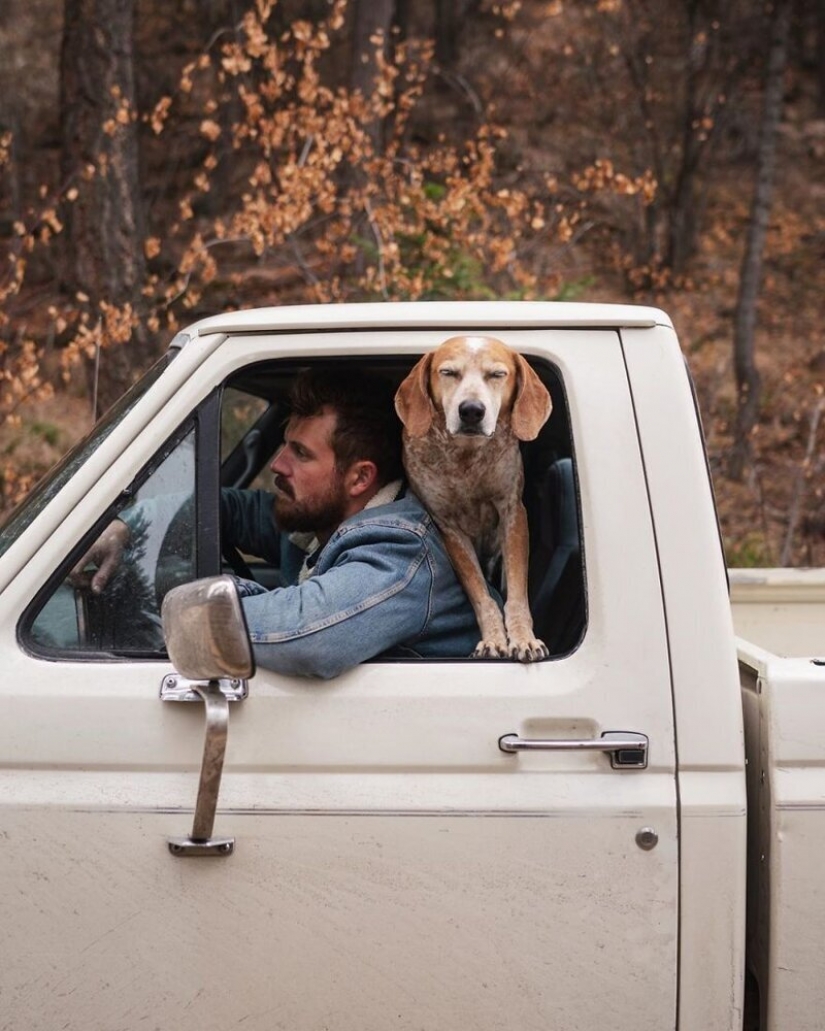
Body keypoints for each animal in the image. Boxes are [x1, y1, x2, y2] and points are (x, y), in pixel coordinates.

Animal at [393, 334, 552, 663]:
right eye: (448, 372)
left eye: (497, 374)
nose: (471, 410)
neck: (466, 457)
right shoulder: (448, 527)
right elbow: (480, 593)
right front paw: (493, 638)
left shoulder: (512, 514)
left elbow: (516, 593)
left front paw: (523, 638)